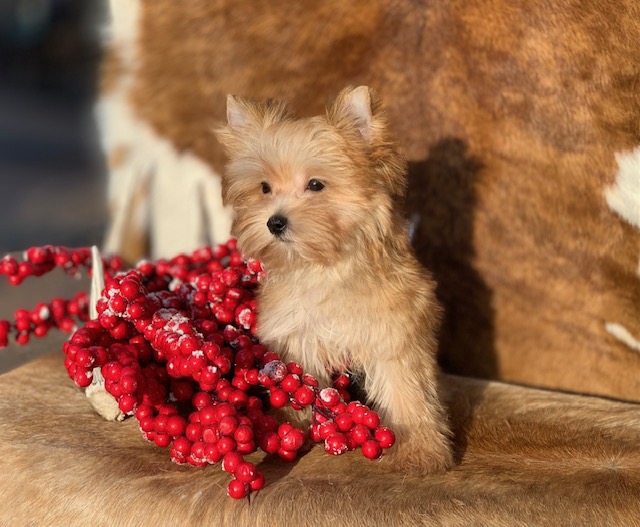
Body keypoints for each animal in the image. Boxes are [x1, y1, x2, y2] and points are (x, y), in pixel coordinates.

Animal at [218, 85, 452, 474]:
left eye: (316, 185)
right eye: (264, 187)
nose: (274, 222)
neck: (323, 266)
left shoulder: (393, 333)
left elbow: (405, 390)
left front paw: (420, 449)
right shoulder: (298, 337)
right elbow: (298, 383)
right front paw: (290, 426)